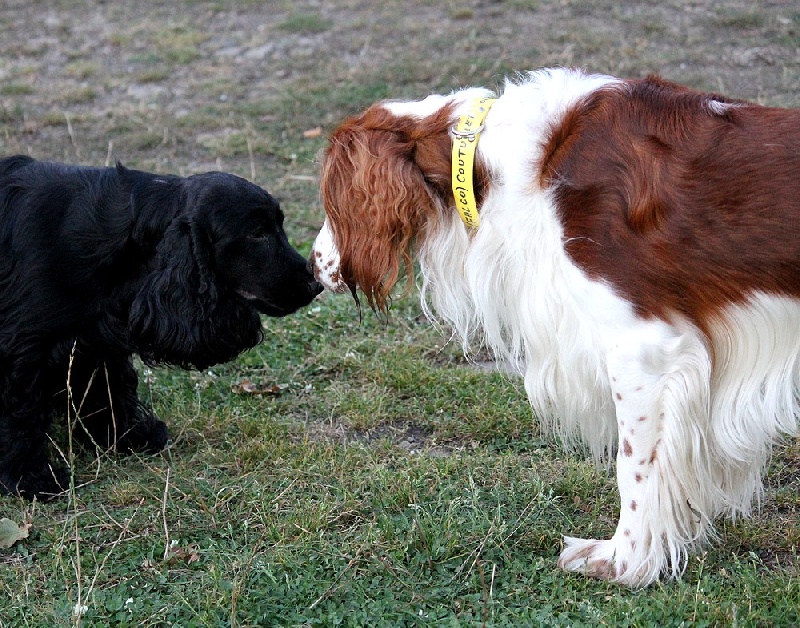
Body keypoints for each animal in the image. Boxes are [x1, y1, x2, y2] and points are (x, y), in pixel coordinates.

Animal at [3, 155, 324, 498]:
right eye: (257, 233)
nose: (315, 284)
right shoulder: (24, 349)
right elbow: (23, 413)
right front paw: (31, 478)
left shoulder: (95, 339)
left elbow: (107, 389)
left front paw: (127, 436)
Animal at [308, 70, 800, 588]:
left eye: (331, 203)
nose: (311, 268)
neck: (494, 160)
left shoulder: (644, 350)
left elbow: (633, 465)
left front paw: (623, 562)